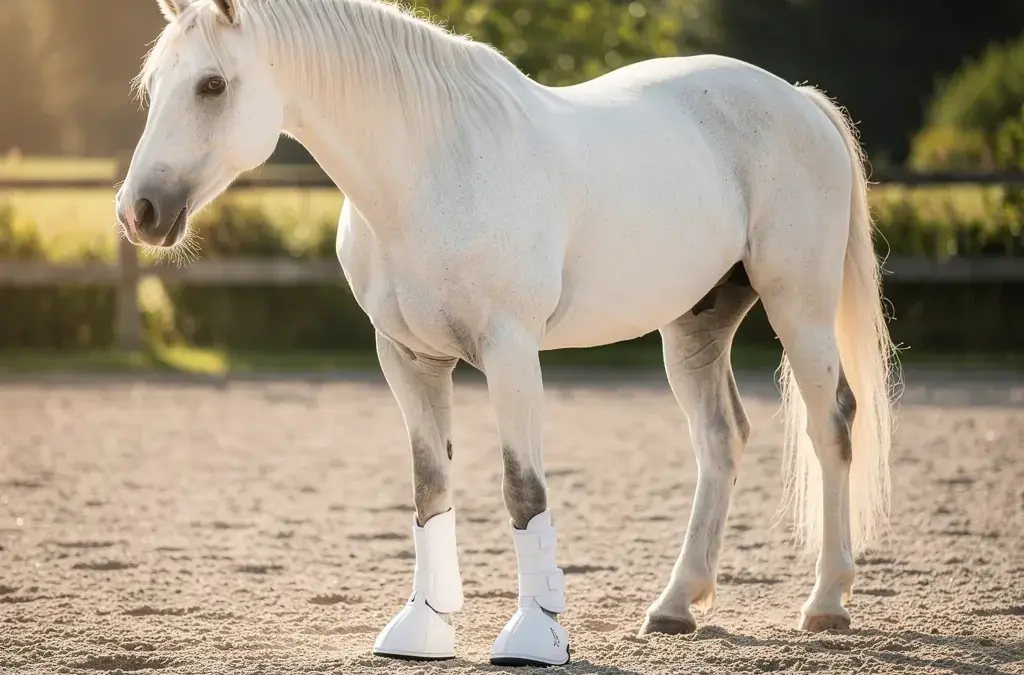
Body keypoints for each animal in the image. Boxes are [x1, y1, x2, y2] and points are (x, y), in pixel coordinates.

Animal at [115, 0, 900, 667]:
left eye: (212, 84)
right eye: (155, 85)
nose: (139, 212)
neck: (430, 171)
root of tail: (798, 100)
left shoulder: (511, 351)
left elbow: (523, 490)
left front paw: (534, 635)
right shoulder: (407, 358)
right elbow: (430, 488)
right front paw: (423, 627)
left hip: (798, 306)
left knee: (831, 426)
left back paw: (827, 602)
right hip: (694, 326)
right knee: (721, 438)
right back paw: (676, 606)